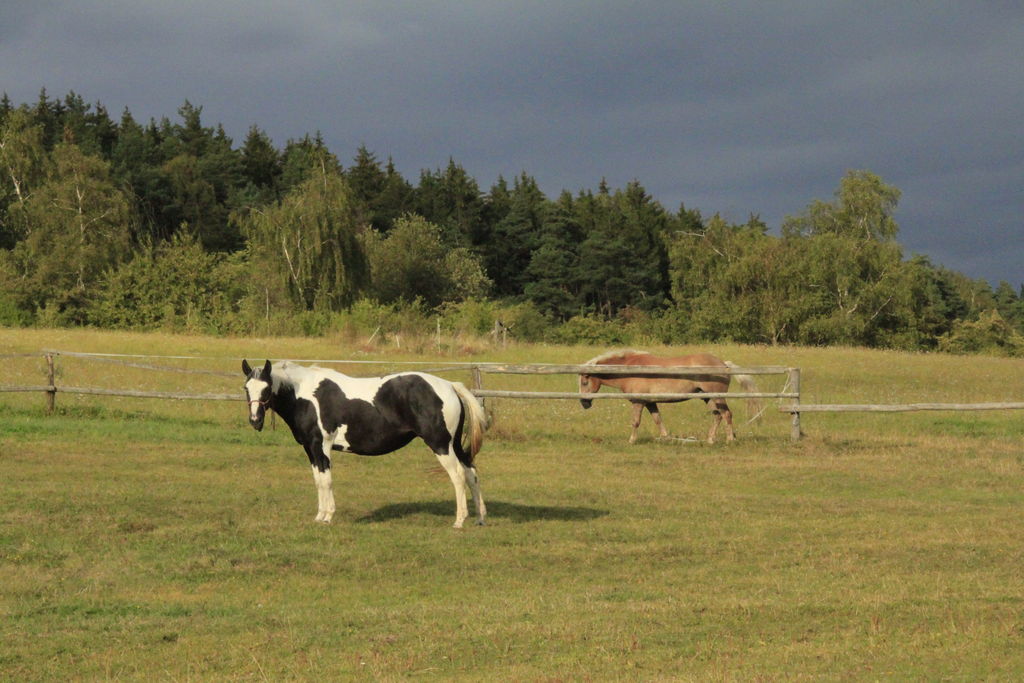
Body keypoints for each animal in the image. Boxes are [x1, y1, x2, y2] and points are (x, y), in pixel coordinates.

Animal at [245, 362, 489, 528]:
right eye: (247, 388)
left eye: (266, 388)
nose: (255, 421)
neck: (303, 394)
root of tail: (449, 386)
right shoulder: (310, 449)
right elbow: (318, 481)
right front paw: (319, 516)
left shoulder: (321, 447)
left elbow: (326, 481)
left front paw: (327, 516)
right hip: (454, 444)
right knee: (471, 473)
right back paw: (480, 517)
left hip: (440, 445)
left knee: (458, 476)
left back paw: (459, 520)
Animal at [577, 352, 761, 444]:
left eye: (585, 382)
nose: (584, 403)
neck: (628, 369)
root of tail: (724, 364)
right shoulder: (650, 403)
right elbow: (658, 420)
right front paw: (666, 438)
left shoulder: (638, 402)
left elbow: (635, 422)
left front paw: (631, 440)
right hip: (708, 398)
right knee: (717, 416)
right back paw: (710, 439)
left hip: (718, 397)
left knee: (727, 414)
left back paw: (730, 439)